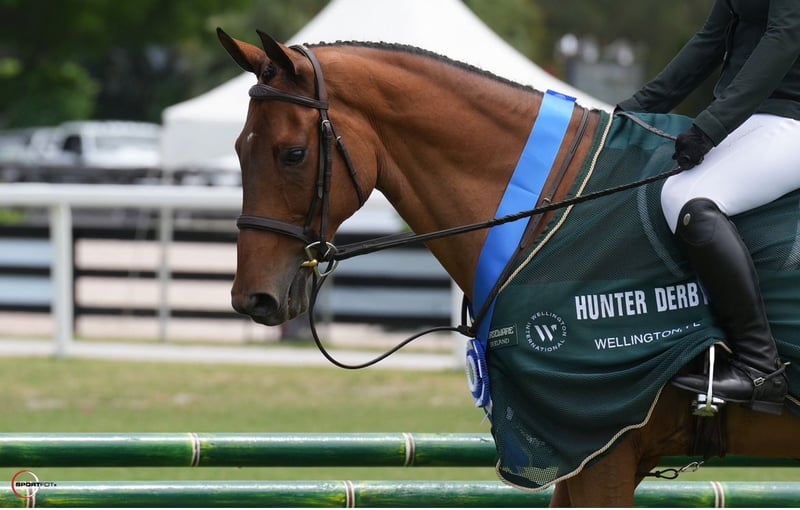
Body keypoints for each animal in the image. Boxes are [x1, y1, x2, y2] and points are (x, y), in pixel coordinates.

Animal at [217, 29, 800, 506]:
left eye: (292, 154)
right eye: (239, 148)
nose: (253, 298)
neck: (550, 208)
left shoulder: (602, 449)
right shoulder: (577, 455)